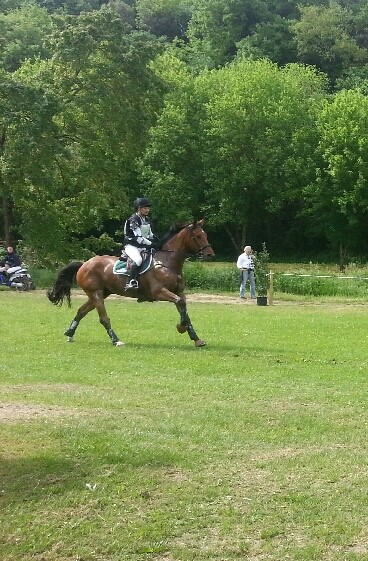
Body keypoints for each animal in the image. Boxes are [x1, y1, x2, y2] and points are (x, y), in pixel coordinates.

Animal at [46, 219, 214, 346]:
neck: (167, 263)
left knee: (81, 311)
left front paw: (196, 339)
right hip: (96, 294)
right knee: (103, 318)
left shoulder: (179, 292)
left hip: (100, 294)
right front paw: (181, 327)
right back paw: (116, 340)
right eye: (197, 236)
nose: (210, 255)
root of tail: (84, 264)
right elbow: (180, 303)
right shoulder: (159, 292)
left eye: (206, 235)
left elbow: (183, 308)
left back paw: (70, 333)